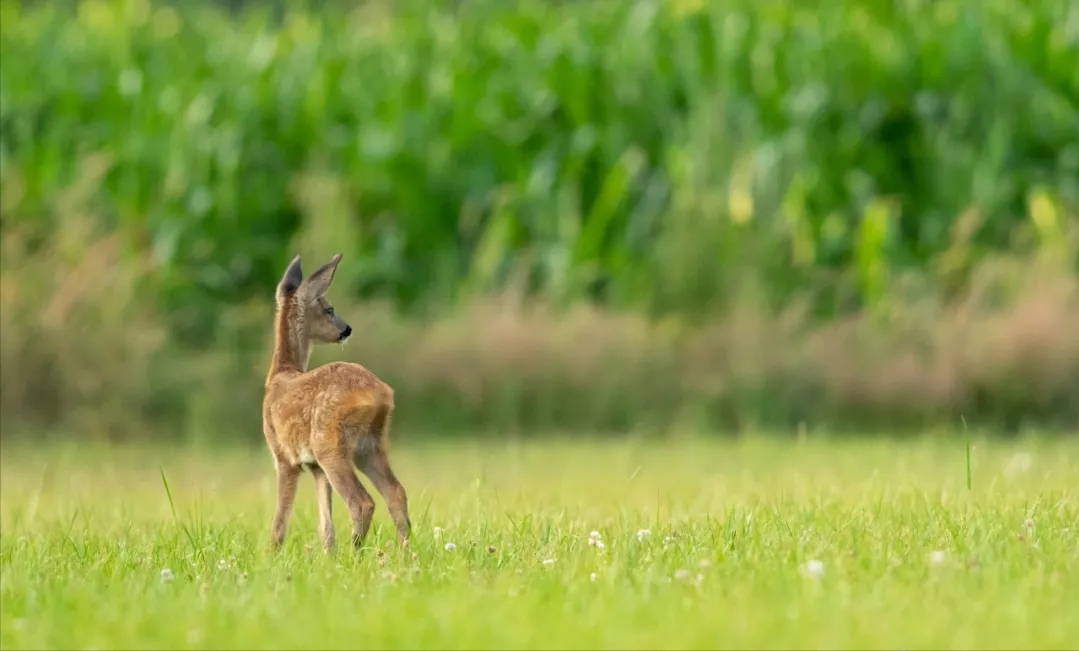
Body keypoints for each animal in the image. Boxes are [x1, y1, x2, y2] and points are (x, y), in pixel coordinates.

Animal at [261, 252, 412, 552]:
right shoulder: (315, 467)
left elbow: (279, 524)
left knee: (362, 501)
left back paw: (356, 552)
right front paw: (328, 555)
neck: (280, 374)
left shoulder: (283, 456)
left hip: (330, 444)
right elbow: (325, 527)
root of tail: (380, 394)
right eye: (329, 309)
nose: (347, 329)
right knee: (396, 493)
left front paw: (270, 555)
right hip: (370, 445)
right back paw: (404, 552)